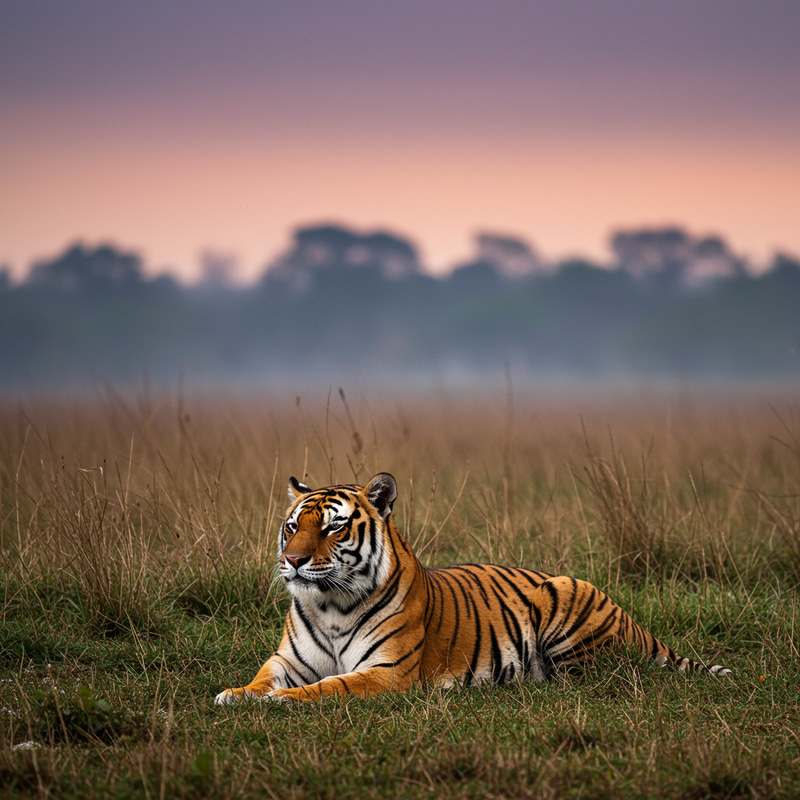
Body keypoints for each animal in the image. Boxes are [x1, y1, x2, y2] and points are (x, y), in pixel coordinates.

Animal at [214, 472, 730, 704]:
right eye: (292, 527)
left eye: (333, 528)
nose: (293, 560)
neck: (330, 605)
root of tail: (624, 611)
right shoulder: (288, 660)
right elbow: (263, 677)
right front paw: (236, 694)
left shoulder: (386, 672)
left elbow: (328, 686)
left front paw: (280, 701)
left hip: (564, 610)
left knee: (594, 677)